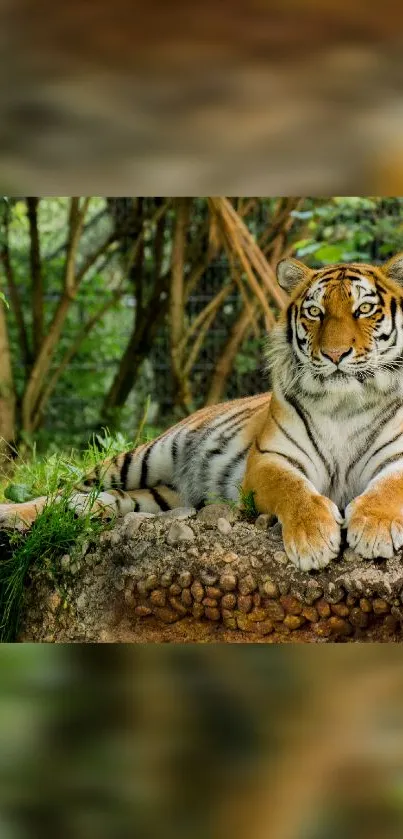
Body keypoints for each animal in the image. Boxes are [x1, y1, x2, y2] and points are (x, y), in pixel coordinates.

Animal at [2, 253, 403, 576]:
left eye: (364, 310)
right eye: (315, 312)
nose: (335, 354)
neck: (343, 403)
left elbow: (389, 488)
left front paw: (374, 530)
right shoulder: (270, 459)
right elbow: (295, 491)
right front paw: (314, 538)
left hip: (159, 497)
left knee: (95, 500)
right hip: (142, 456)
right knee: (64, 491)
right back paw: (12, 513)